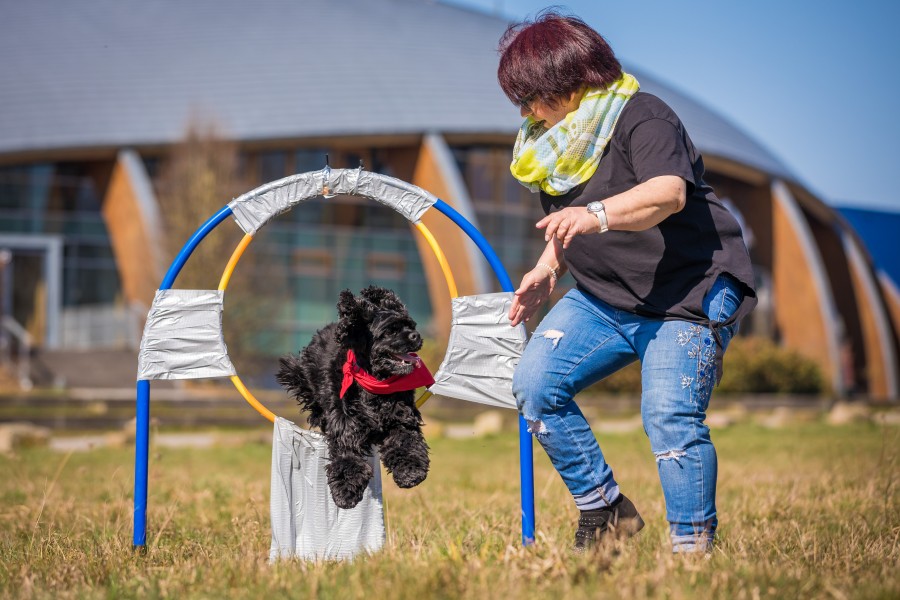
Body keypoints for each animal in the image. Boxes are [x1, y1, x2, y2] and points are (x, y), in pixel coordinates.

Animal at [276, 288, 430, 508]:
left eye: (410, 325)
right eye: (390, 331)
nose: (416, 335)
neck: (374, 382)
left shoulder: (400, 418)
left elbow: (406, 442)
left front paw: (411, 472)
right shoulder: (346, 424)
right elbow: (347, 455)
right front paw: (345, 491)